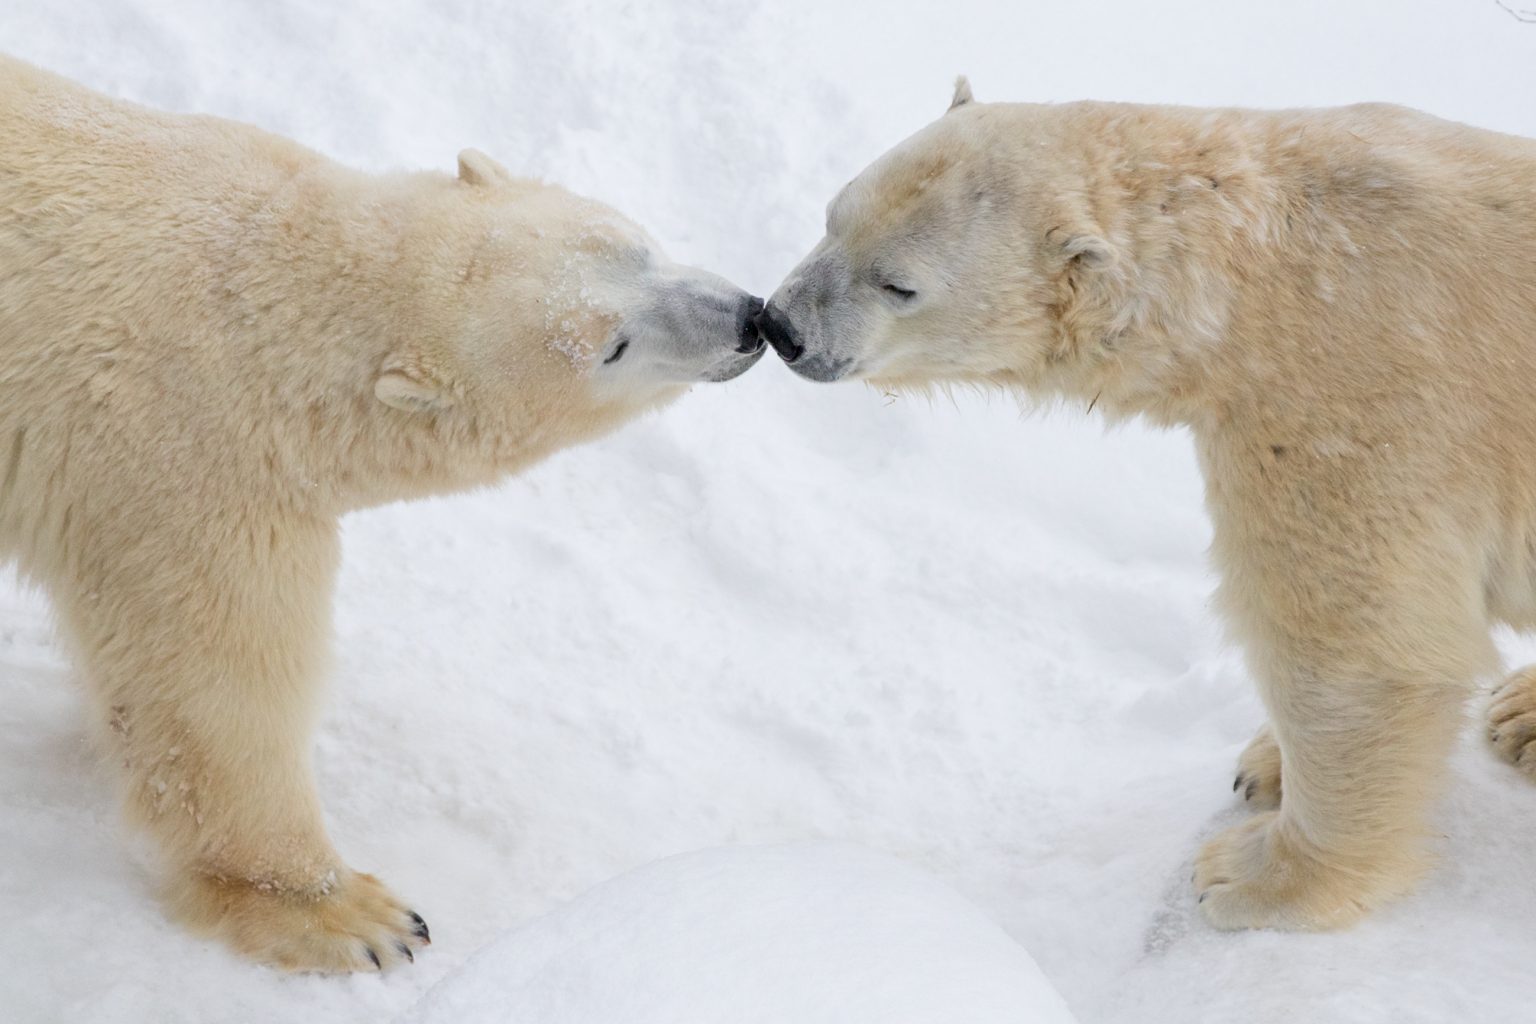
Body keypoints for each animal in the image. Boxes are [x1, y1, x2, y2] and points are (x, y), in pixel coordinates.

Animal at [0, 57, 768, 976]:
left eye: (637, 247)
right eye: (610, 348)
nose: (749, 320)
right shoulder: (185, 464)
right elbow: (216, 685)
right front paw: (352, 915)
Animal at [758, 78, 1536, 927]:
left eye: (898, 283)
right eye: (834, 216)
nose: (781, 324)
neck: (1255, 273)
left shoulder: (1353, 407)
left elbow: (1356, 655)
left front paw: (1248, 875)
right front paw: (1264, 764)